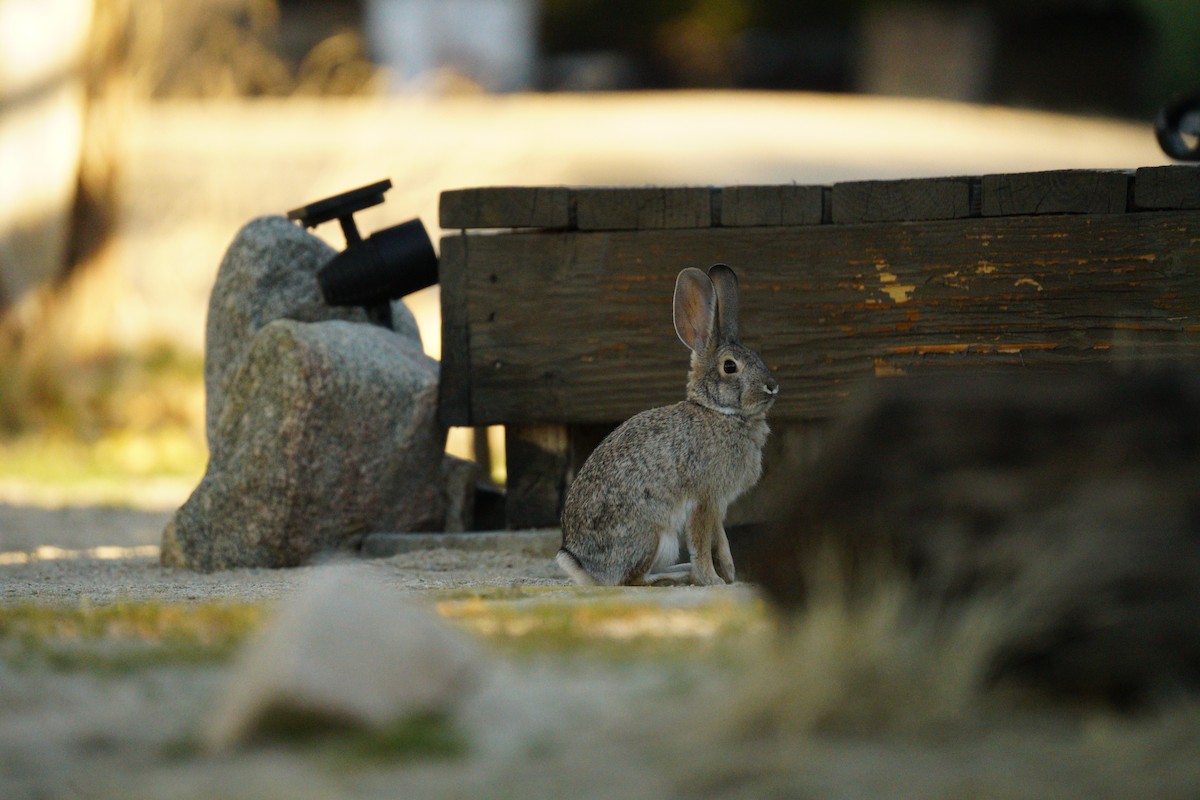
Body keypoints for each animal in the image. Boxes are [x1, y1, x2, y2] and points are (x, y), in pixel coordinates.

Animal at [557, 264, 779, 587]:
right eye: (730, 366)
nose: (772, 386)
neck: (719, 412)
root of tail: (585, 567)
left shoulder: (719, 505)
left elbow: (720, 539)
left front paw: (729, 574)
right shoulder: (704, 499)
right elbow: (702, 542)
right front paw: (712, 580)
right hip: (656, 534)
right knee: (633, 579)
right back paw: (676, 576)